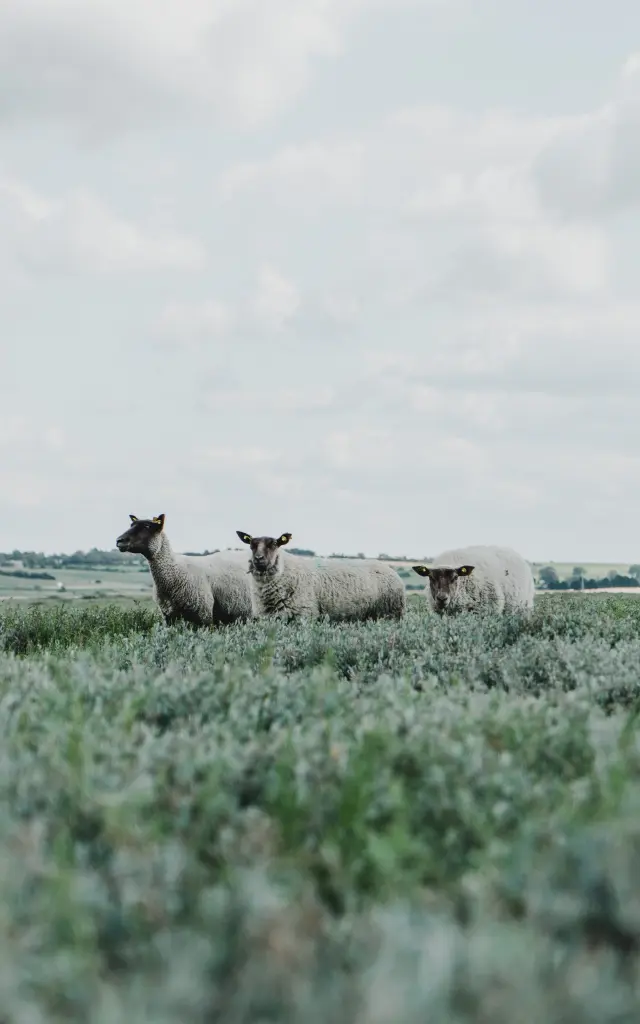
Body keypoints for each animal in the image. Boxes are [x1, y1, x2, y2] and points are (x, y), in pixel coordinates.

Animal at [116, 514, 252, 627]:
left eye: (147, 526)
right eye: (131, 525)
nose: (119, 541)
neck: (175, 569)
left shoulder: (204, 614)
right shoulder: (169, 616)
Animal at [235, 530, 406, 622]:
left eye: (274, 544)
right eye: (251, 545)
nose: (258, 559)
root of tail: (390, 569)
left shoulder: (303, 615)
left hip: (390, 614)